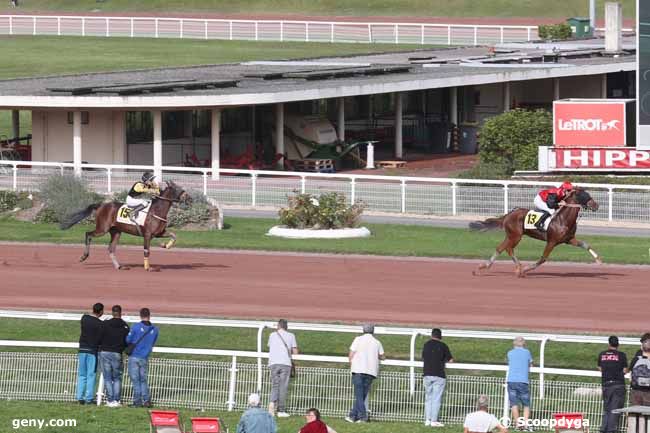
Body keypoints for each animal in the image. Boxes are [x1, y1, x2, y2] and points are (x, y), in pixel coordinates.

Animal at [60, 180, 190, 270]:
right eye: (178, 188)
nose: (189, 198)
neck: (157, 210)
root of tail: (101, 205)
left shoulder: (159, 233)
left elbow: (174, 235)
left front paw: (165, 245)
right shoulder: (147, 235)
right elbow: (146, 251)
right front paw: (148, 268)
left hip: (116, 232)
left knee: (111, 248)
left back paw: (119, 266)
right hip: (102, 228)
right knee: (88, 234)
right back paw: (84, 256)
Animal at [468, 186, 600, 276]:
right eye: (584, 194)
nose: (596, 205)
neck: (563, 219)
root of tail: (508, 215)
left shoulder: (569, 239)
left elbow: (586, 245)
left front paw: (598, 260)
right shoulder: (551, 241)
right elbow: (543, 258)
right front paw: (527, 269)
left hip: (511, 235)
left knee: (503, 248)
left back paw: (487, 267)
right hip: (516, 236)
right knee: (507, 248)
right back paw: (516, 268)